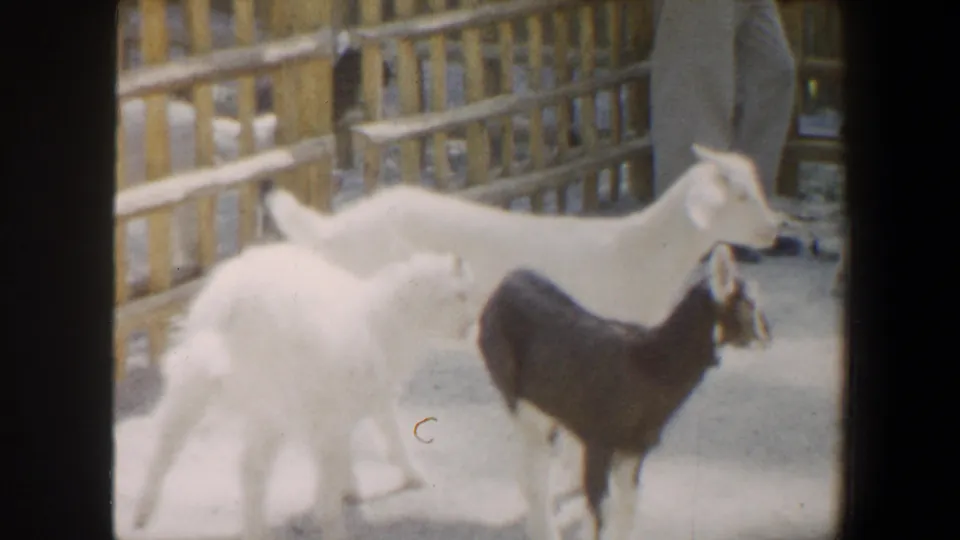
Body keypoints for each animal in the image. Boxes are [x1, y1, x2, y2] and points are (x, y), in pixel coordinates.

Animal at [131, 244, 478, 540]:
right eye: (458, 296)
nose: (470, 326)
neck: (384, 320)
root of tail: (229, 306)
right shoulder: (349, 406)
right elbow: (388, 440)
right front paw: (410, 477)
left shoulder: (336, 413)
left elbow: (342, 454)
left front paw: (350, 489)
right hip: (272, 400)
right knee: (243, 464)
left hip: (209, 387)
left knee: (181, 446)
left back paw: (147, 514)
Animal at [476, 244, 772, 540]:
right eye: (748, 303)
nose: (767, 335)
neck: (651, 365)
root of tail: (506, 281)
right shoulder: (598, 441)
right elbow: (599, 511)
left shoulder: (634, 448)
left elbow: (628, 506)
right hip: (517, 398)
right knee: (535, 471)